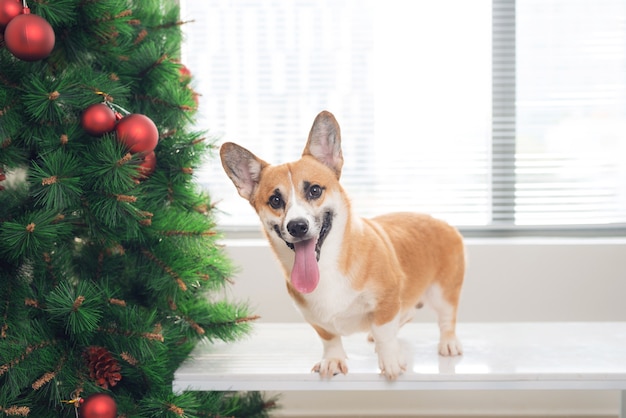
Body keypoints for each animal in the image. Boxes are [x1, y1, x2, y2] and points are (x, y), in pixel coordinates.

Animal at [219, 110, 464, 378]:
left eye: (315, 191)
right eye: (275, 200)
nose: (297, 226)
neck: (326, 266)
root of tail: (442, 222)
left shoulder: (387, 300)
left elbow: (384, 332)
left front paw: (390, 360)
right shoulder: (315, 319)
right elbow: (330, 338)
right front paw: (333, 360)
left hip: (443, 293)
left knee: (447, 318)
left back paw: (448, 343)